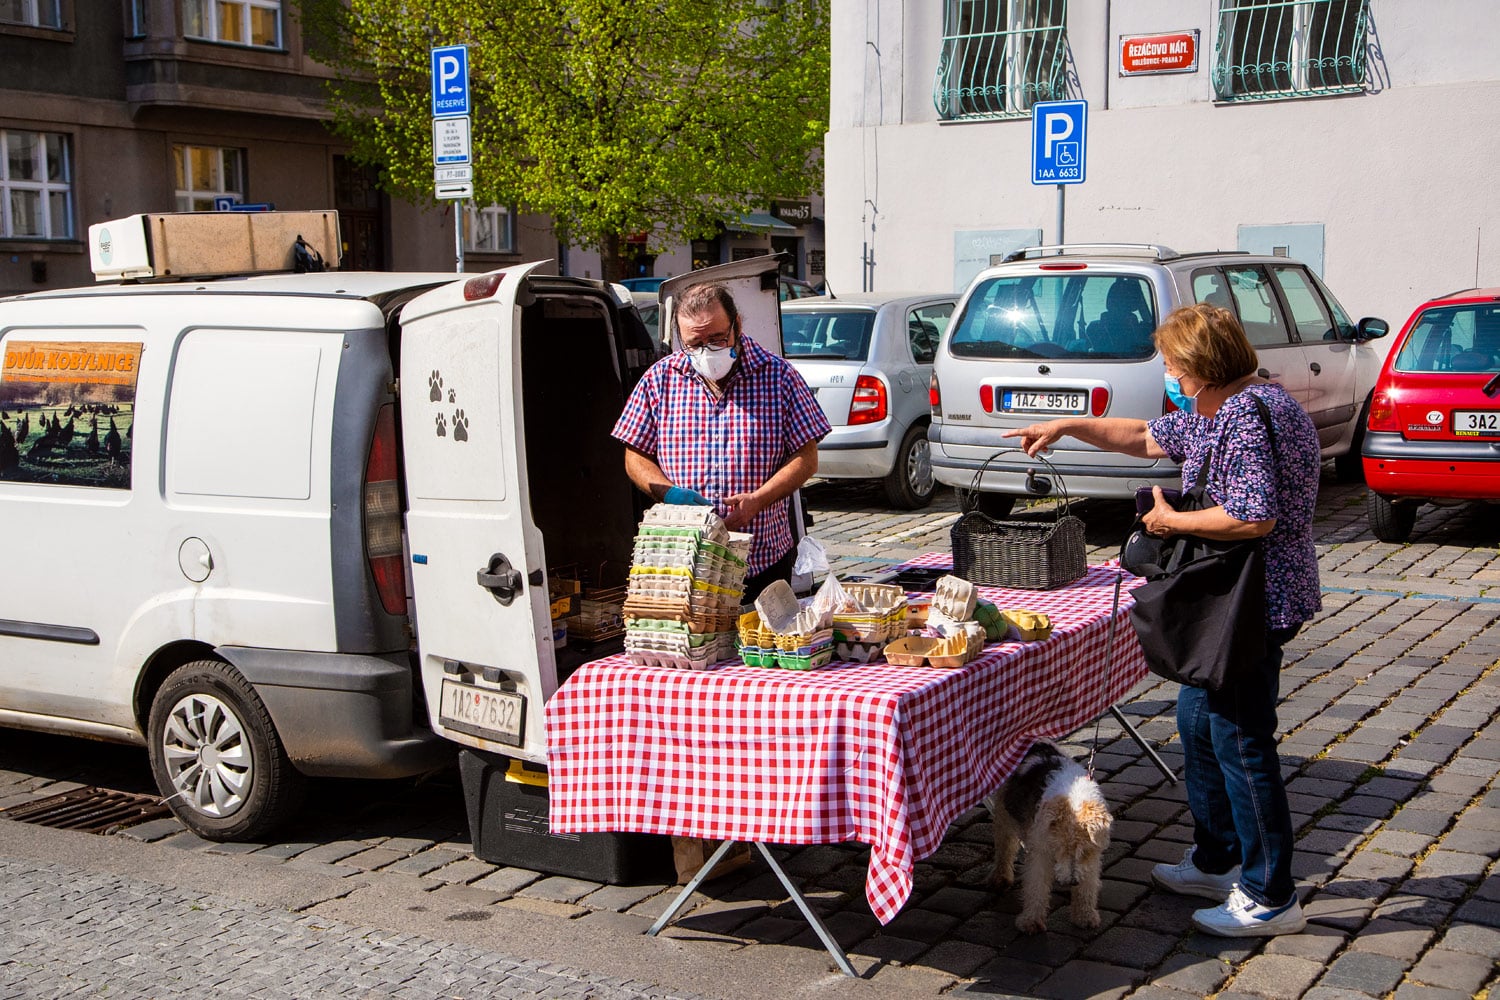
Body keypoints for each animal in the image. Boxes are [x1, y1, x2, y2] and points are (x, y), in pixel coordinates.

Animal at [984, 740, 1116, 935]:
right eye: (1060, 848)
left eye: (1084, 851)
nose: (1072, 882)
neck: (1073, 797)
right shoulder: (1041, 851)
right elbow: (1036, 886)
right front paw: (1031, 921)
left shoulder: (1093, 855)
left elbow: (1087, 887)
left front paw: (1085, 916)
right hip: (1003, 813)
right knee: (1004, 846)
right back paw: (1000, 877)